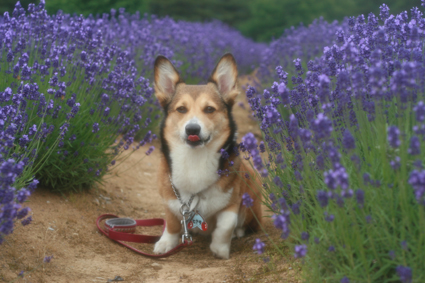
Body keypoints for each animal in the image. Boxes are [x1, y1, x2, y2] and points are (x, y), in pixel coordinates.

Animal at [152, 53, 262, 260]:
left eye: (209, 109)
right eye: (181, 109)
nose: (192, 129)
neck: (195, 159)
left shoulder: (232, 203)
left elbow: (226, 225)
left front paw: (220, 250)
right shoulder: (171, 200)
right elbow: (171, 222)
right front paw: (165, 243)